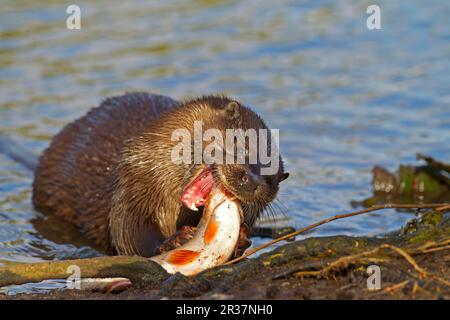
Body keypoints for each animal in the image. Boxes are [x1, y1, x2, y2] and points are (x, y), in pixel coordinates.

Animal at [33, 92, 290, 258]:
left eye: (270, 181)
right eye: (244, 146)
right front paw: (175, 240)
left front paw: (242, 238)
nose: (252, 181)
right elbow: (127, 232)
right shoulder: (130, 186)